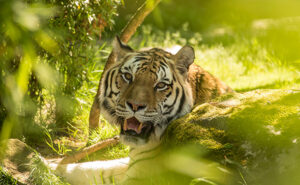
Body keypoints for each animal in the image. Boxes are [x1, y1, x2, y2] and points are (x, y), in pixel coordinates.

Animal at [49, 36, 232, 184]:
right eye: (128, 76)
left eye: (161, 85)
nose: (135, 106)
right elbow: (93, 166)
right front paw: (49, 163)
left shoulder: (140, 175)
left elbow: (93, 172)